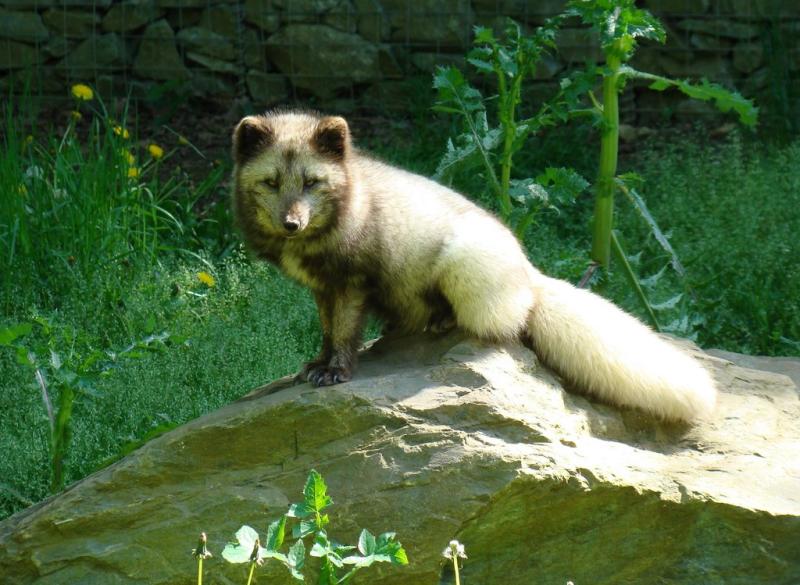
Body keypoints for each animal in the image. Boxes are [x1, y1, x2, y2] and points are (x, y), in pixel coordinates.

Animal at [231, 110, 717, 423]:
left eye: (312, 182)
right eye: (271, 182)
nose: (291, 223)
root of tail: (530, 276)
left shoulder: (352, 283)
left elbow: (346, 333)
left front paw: (336, 372)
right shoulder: (322, 288)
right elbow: (328, 331)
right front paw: (315, 363)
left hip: (462, 260)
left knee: (504, 326)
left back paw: (444, 323)